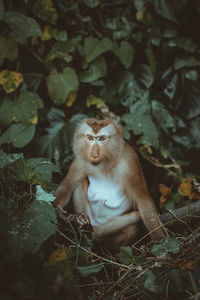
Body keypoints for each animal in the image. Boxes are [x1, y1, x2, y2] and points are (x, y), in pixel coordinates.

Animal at [53, 118, 164, 248]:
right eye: (90, 138)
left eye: (101, 138)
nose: (94, 154)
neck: (104, 163)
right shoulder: (80, 161)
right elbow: (67, 187)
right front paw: (56, 210)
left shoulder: (129, 160)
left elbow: (143, 200)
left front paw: (161, 241)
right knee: (79, 182)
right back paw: (79, 222)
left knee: (136, 217)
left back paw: (90, 231)